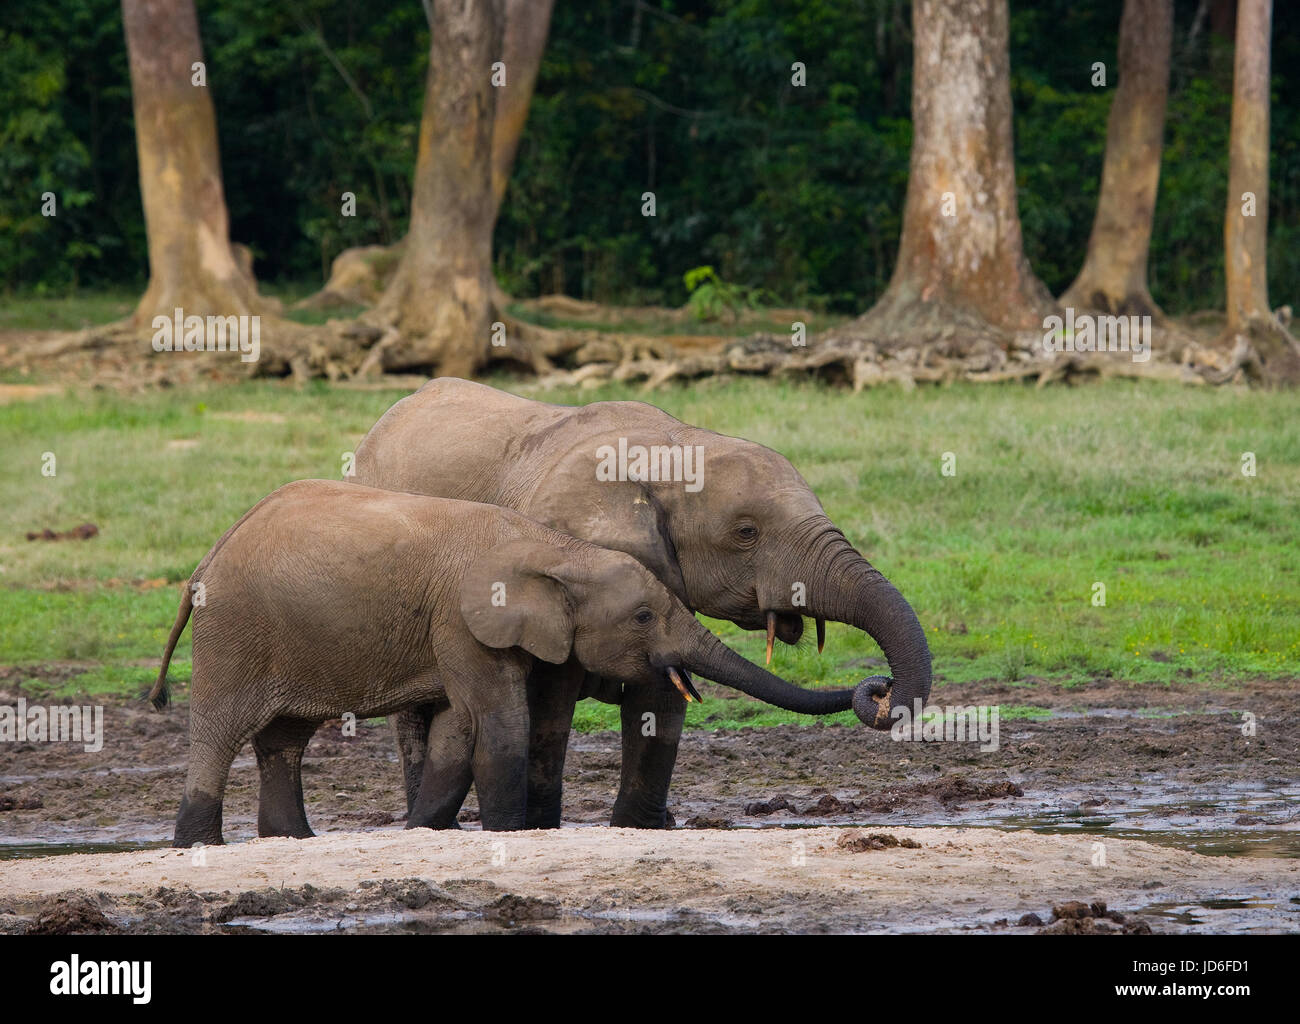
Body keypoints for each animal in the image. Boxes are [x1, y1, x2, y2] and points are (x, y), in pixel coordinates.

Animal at [150, 479, 879, 846]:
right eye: (644, 617)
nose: (876, 688)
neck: (556, 550)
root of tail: (205, 561)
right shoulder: (464, 618)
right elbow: (497, 720)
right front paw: (507, 830)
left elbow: (459, 725)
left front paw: (426, 830)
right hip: (235, 630)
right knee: (219, 730)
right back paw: (199, 844)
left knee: (285, 738)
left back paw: (292, 840)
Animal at [342, 377, 932, 830]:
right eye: (746, 533)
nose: (879, 690)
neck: (672, 450)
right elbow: (548, 708)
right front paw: (539, 829)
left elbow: (660, 698)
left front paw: (639, 827)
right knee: (416, 719)